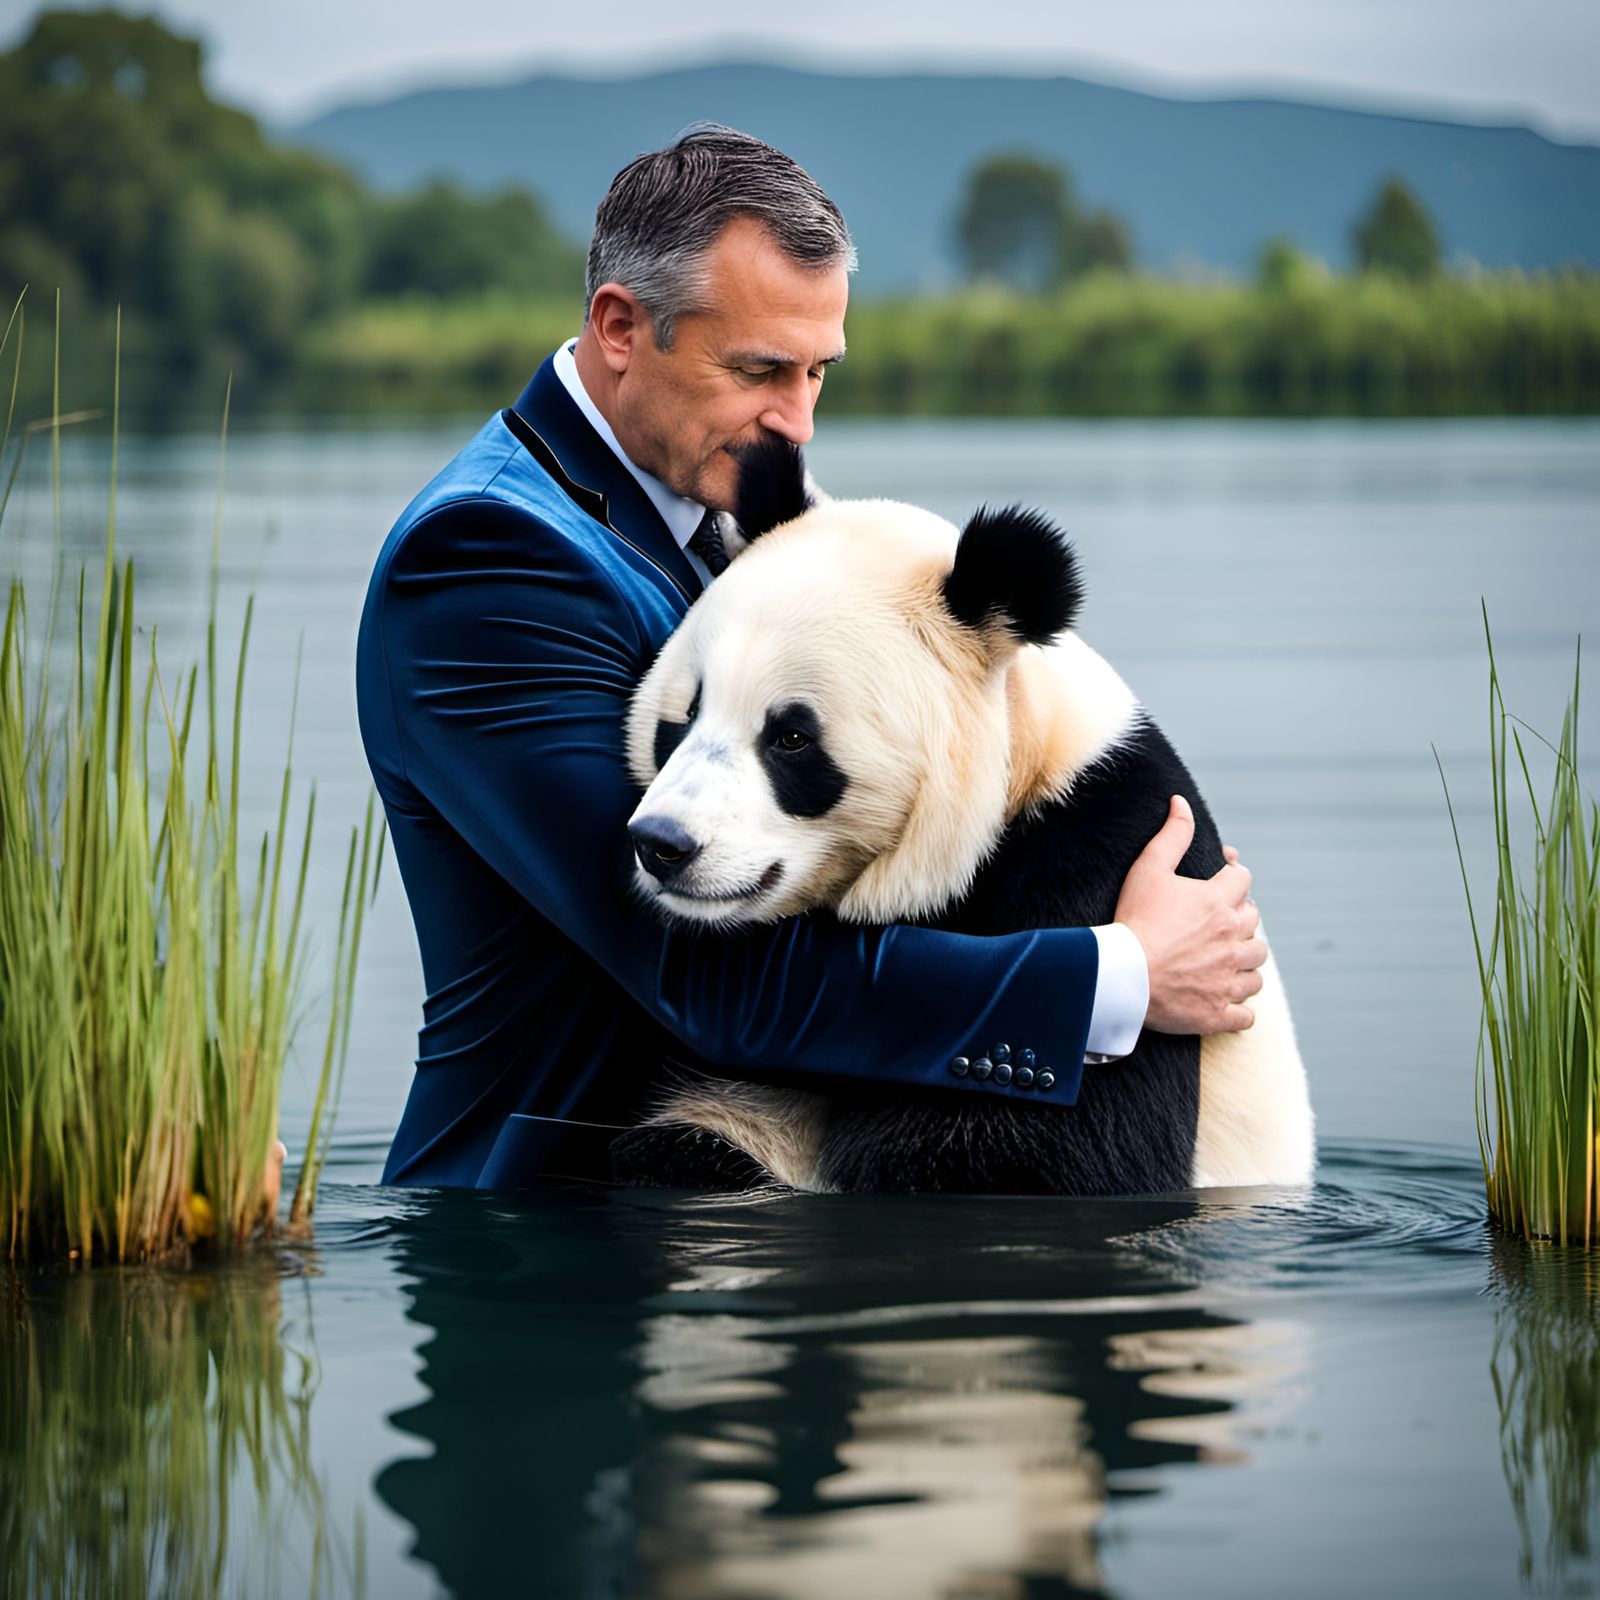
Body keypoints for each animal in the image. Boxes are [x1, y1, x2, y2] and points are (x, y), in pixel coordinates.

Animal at [612, 440, 1316, 1196]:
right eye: (683, 716)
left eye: (791, 738)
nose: (662, 844)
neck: (1024, 761)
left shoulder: (1099, 851)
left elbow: (1028, 1154)